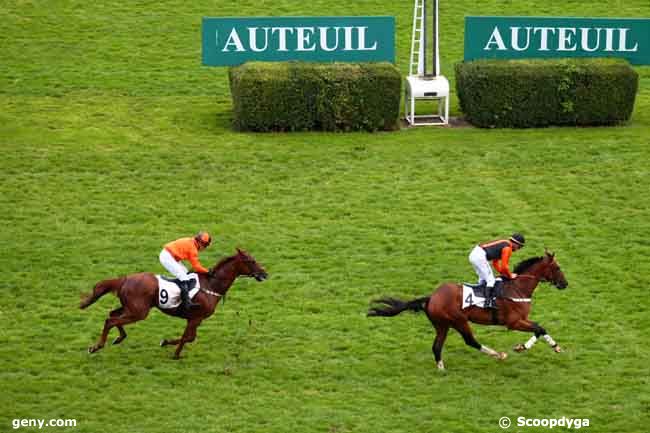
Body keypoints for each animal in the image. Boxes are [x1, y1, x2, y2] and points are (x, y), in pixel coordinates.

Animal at [80, 248, 266, 356]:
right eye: (251, 261)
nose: (264, 274)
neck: (211, 284)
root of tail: (125, 279)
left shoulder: (195, 319)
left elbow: (189, 337)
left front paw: (168, 345)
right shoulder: (195, 318)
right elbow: (188, 337)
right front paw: (174, 352)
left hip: (130, 308)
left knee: (112, 315)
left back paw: (119, 338)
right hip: (139, 312)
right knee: (111, 320)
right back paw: (97, 346)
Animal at [370, 250, 568, 368]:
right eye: (557, 267)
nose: (565, 284)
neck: (517, 288)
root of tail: (432, 297)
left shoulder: (522, 319)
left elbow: (540, 328)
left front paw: (556, 347)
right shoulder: (513, 322)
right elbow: (538, 328)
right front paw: (521, 347)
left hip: (442, 325)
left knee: (437, 346)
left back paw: (441, 368)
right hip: (459, 321)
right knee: (470, 341)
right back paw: (498, 354)